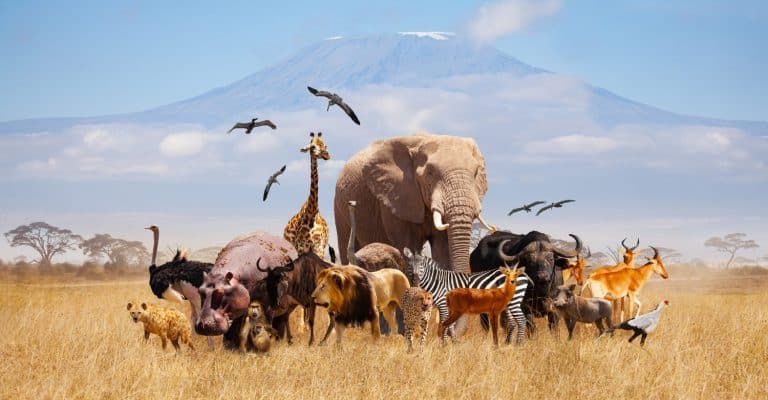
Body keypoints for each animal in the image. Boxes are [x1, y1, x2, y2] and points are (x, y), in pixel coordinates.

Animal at [334, 132, 494, 274]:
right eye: (430, 173)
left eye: (476, 173)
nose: (353, 203)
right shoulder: (396, 196)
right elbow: (408, 245)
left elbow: (443, 247)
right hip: (339, 206)